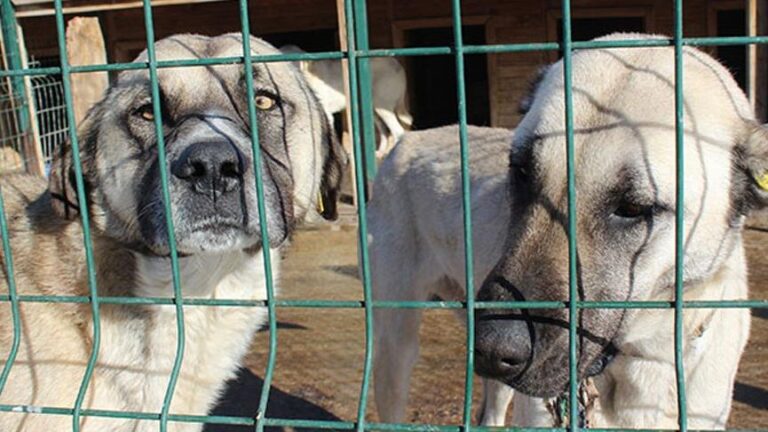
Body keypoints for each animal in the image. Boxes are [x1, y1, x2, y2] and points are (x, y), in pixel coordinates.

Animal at [370, 32, 760, 426]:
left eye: (633, 208)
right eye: (521, 171)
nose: (491, 348)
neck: (640, 363)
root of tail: (407, 141)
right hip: (395, 345)